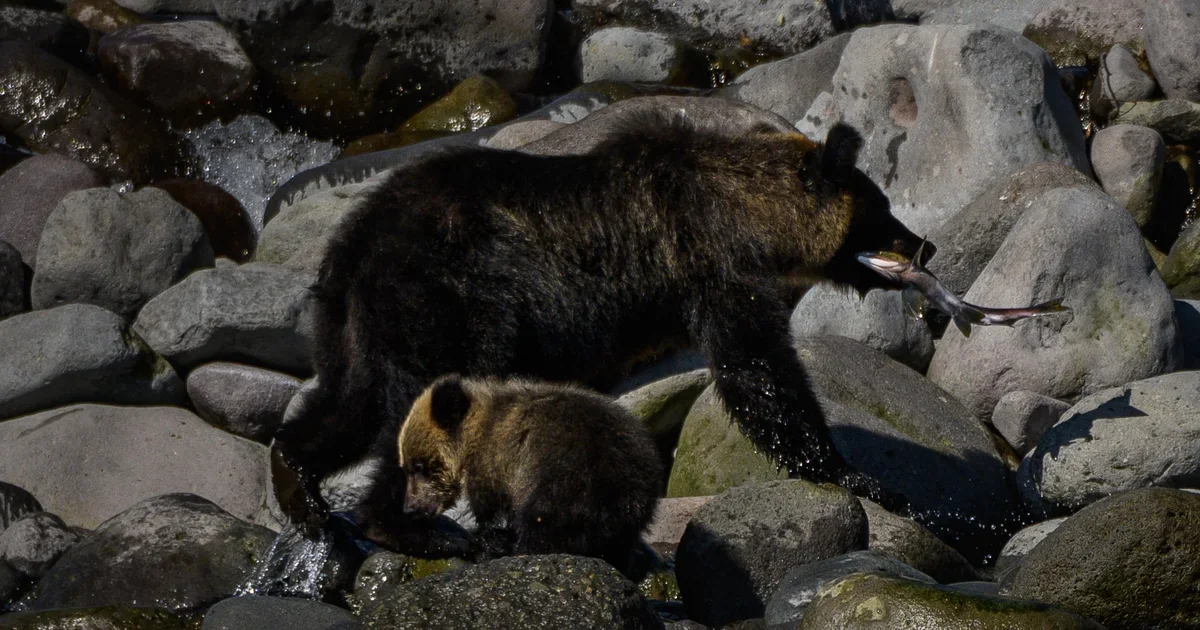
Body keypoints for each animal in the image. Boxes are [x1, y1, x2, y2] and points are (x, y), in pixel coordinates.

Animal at [271, 110, 929, 546]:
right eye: (881, 208)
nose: (924, 243)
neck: (749, 215)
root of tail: (356, 242)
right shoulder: (709, 261)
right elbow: (758, 371)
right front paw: (860, 475)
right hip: (444, 297)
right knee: (412, 404)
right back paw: (397, 521)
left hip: (351, 321)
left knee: (348, 403)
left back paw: (300, 485)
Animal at [395, 374, 662, 574]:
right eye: (406, 467)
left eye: (419, 467)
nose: (410, 508)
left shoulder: (495, 466)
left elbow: (492, 513)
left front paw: (485, 542)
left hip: (566, 481)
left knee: (541, 527)